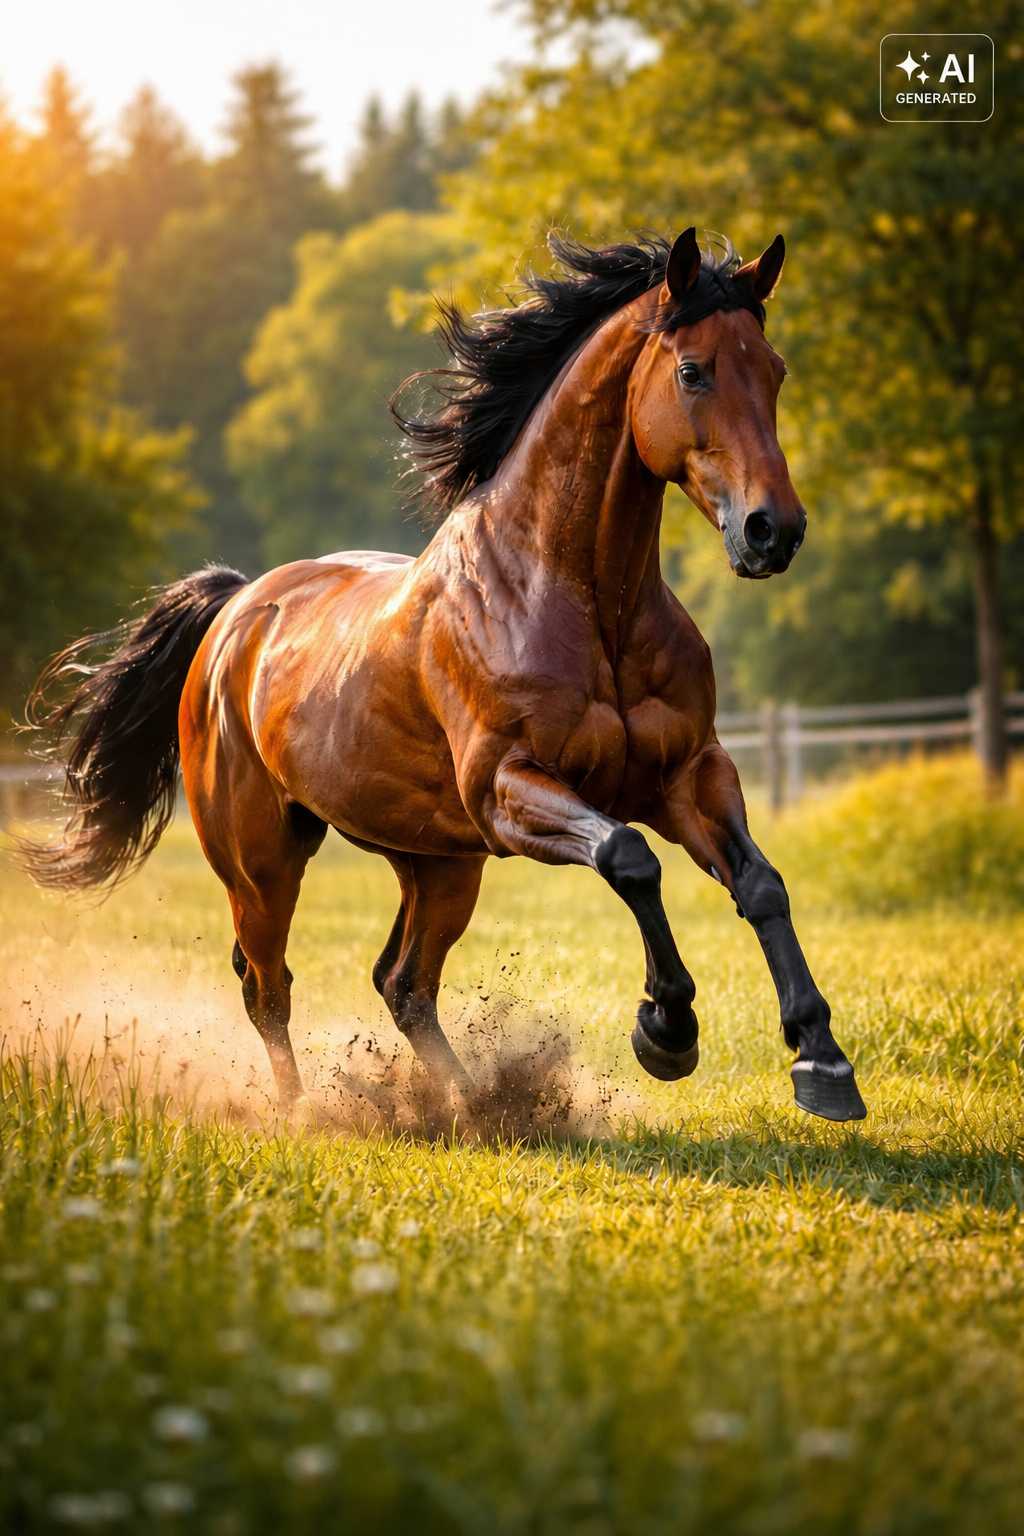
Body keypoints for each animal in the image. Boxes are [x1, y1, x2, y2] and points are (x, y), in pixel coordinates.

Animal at [20, 226, 866, 1123]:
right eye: (693, 371)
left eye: (775, 370)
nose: (773, 530)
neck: (576, 601)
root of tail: (234, 612)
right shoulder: (508, 789)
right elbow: (629, 857)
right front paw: (666, 1030)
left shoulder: (688, 774)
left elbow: (760, 883)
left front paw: (822, 1061)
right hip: (263, 859)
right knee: (267, 983)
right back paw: (305, 1112)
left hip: (437, 862)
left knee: (402, 983)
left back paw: (473, 1107)